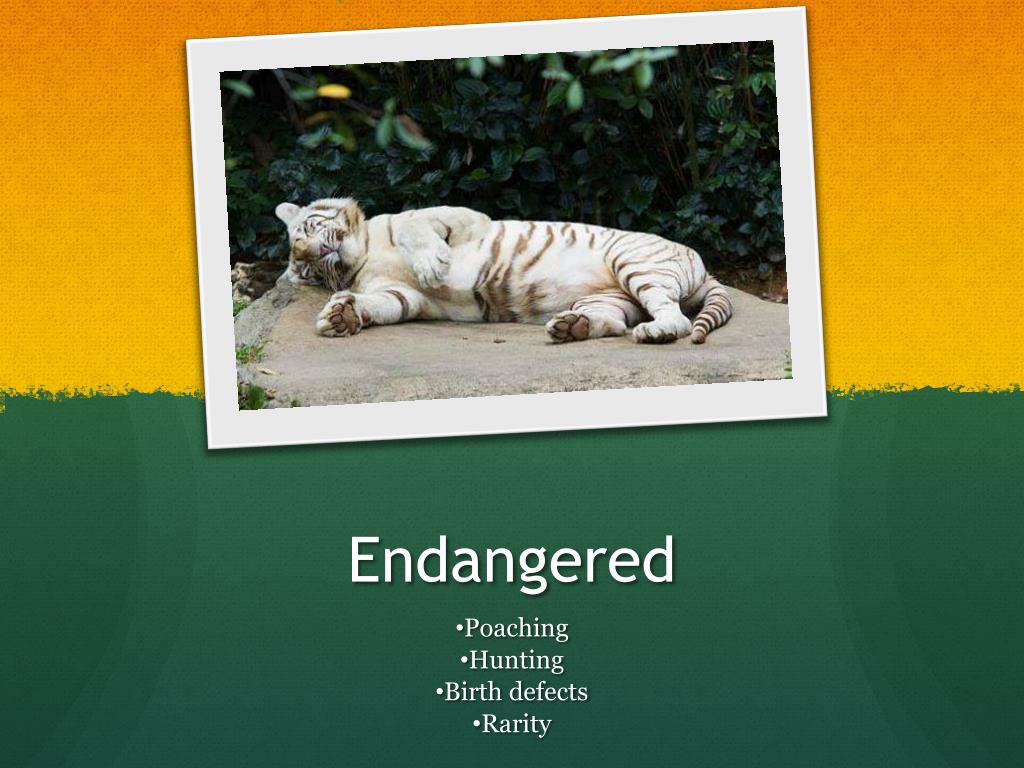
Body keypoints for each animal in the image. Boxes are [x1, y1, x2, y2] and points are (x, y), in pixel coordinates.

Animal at [273, 198, 732, 344]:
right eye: (310, 270)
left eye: (307, 231)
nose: (317, 250)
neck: (365, 255)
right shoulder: (405, 297)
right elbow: (385, 304)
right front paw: (342, 316)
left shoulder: (458, 216)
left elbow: (411, 228)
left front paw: (432, 264)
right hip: (609, 298)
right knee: (615, 322)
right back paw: (571, 327)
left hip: (634, 264)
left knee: (673, 314)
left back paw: (657, 332)